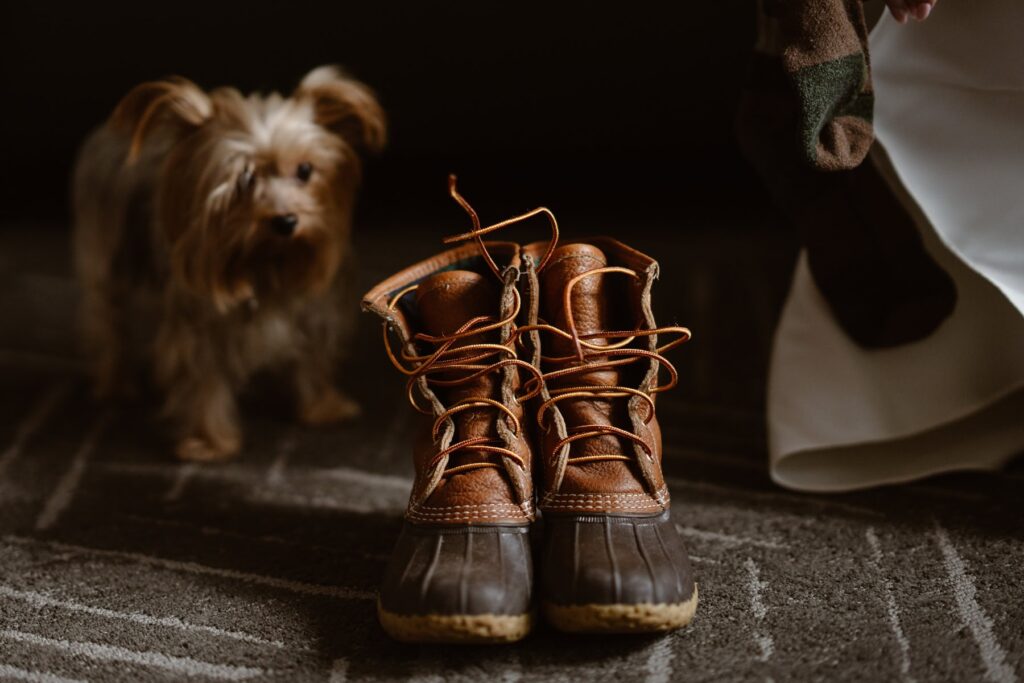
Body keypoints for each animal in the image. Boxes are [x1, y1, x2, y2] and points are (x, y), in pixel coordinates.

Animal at [71, 66, 385, 462]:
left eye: (305, 170)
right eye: (244, 180)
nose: (286, 221)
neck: (264, 262)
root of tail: (109, 128)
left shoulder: (317, 306)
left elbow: (314, 355)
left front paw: (323, 408)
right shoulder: (199, 322)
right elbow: (204, 378)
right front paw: (210, 442)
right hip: (107, 249)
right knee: (109, 317)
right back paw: (115, 383)